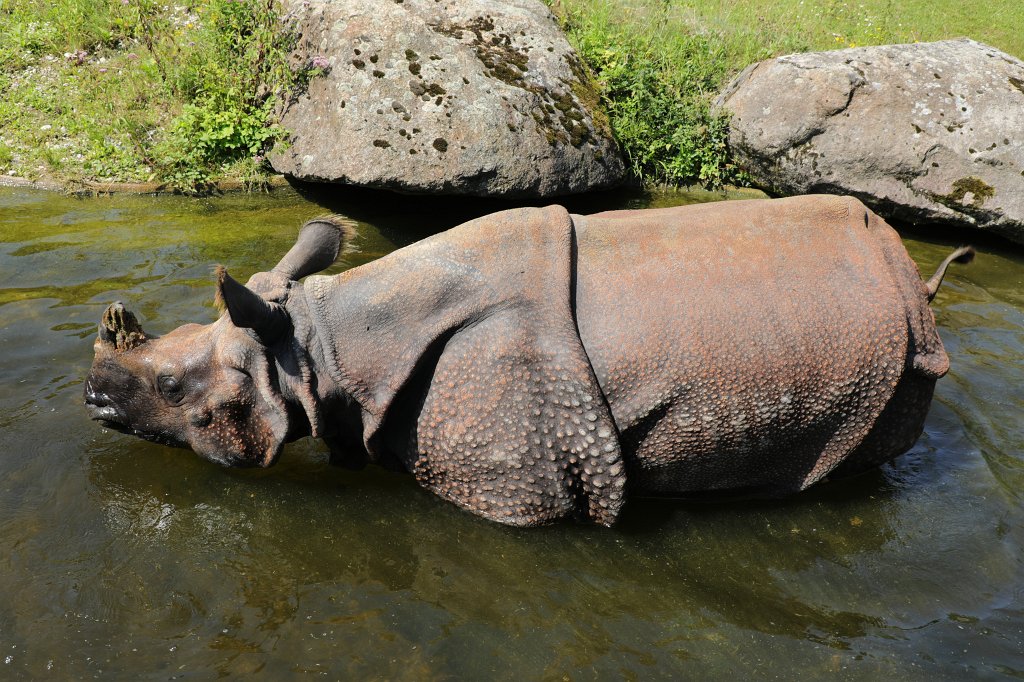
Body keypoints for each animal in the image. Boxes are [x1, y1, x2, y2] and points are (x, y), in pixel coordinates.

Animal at [84, 195, 973, 526]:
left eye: (172, 386)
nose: (91, 395)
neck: (319, 347)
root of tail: (911, 279)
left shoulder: (514, 475)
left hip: (893, 358)